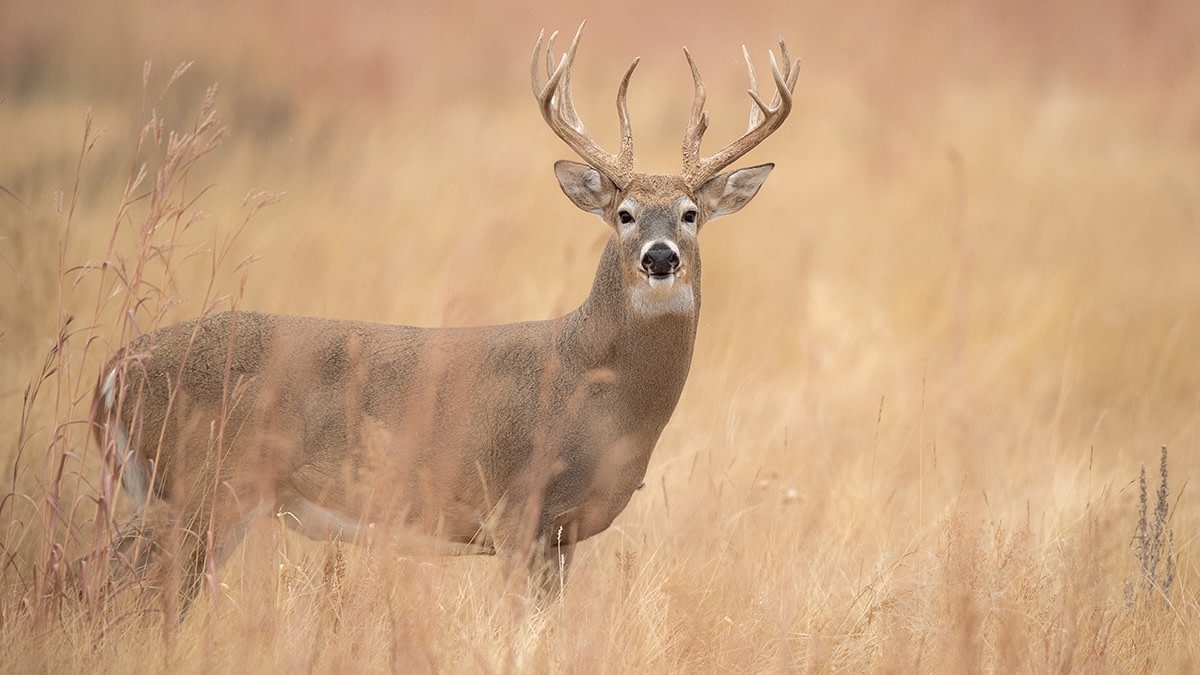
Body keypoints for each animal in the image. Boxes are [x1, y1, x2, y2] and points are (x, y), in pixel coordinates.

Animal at [89, 23, 799, 614]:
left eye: (690, 213)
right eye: (623, 213)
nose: (659, 257)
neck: (594, 386)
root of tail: (112, 373)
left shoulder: (563, 536)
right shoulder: (514, 512)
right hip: (201, 488)